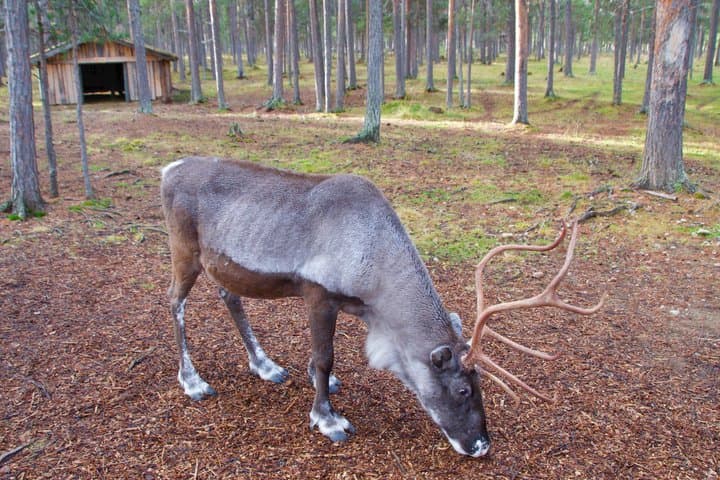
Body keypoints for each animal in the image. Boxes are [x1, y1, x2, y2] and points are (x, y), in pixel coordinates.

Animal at [160, 156, 606, 457]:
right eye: (462, 388)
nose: (481, 445)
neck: (377, 270)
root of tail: (168, 169)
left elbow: (321, 361)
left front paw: (317, 384)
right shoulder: (318, 294)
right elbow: (325, 357)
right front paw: (328, 418)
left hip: (220, 263)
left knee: (229, 296)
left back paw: (265, 364)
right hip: (184, 249)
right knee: (174, 302)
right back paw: (193, 380)